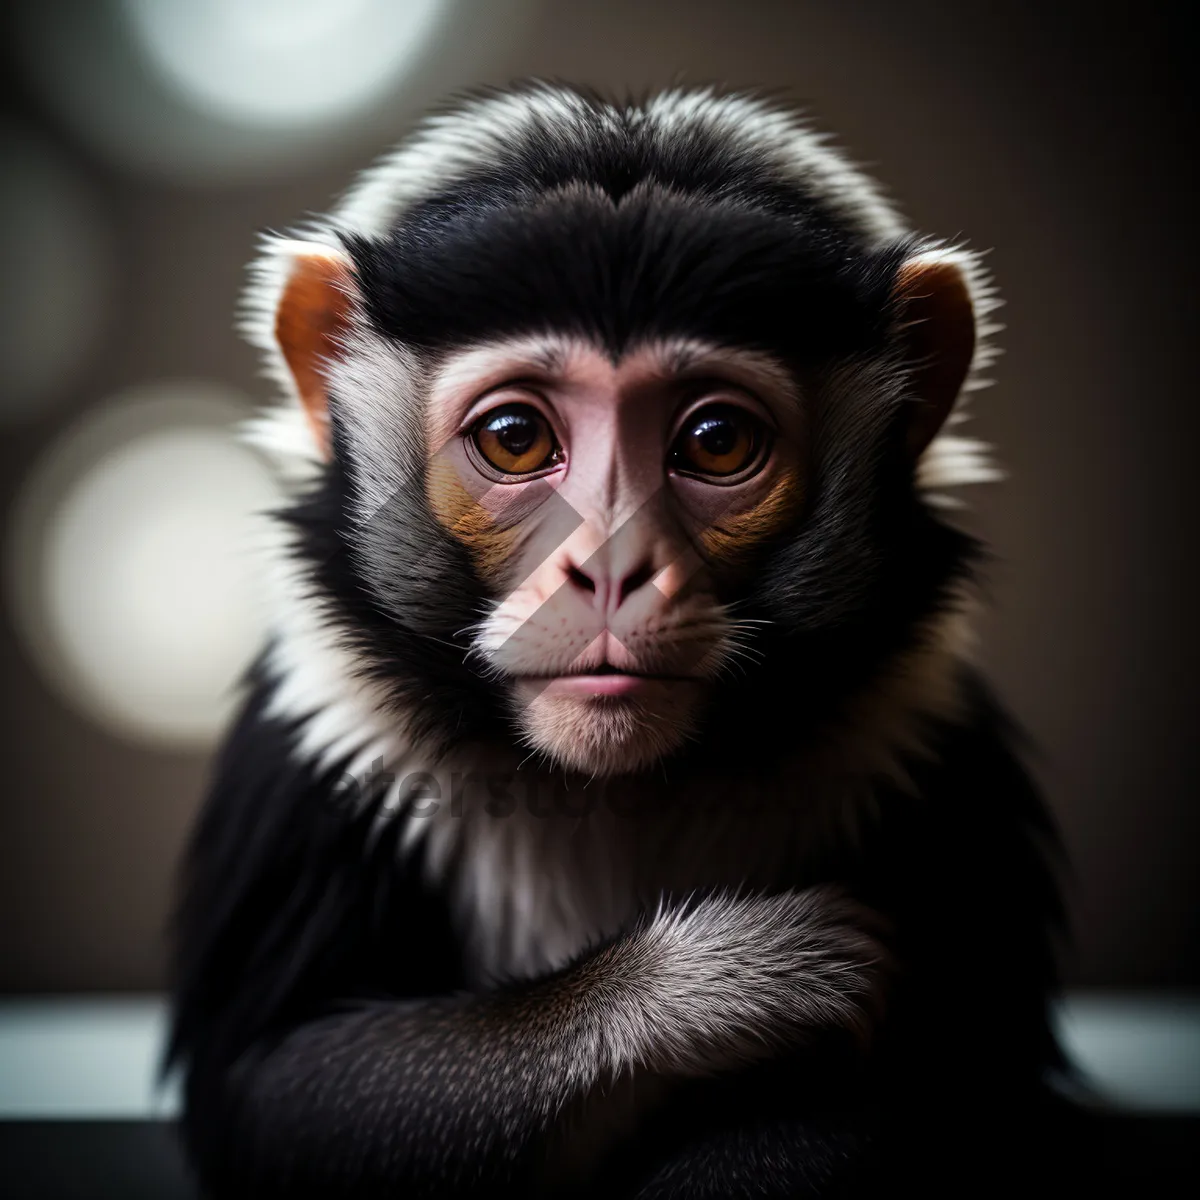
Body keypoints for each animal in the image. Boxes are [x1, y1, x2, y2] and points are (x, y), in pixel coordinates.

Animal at [166, 84, 1070, 1200]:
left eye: (716, 443)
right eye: (516, 438)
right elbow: (272, 1098)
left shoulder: (932, 734)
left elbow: (973, 1102)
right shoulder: (318, 723)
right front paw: (725, 985)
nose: (610, 567)